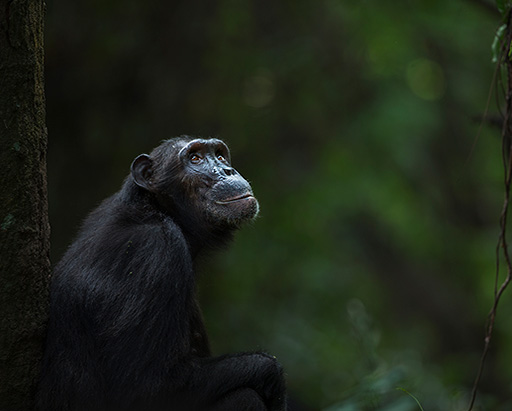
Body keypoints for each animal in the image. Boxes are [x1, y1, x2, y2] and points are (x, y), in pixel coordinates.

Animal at [37, 137, 288, 410]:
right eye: (195, 159)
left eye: (219, 155)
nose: (227, 170)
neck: (158, 209)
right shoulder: (155, 253)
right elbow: (148, 387)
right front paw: (273, 374)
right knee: (244, 397)